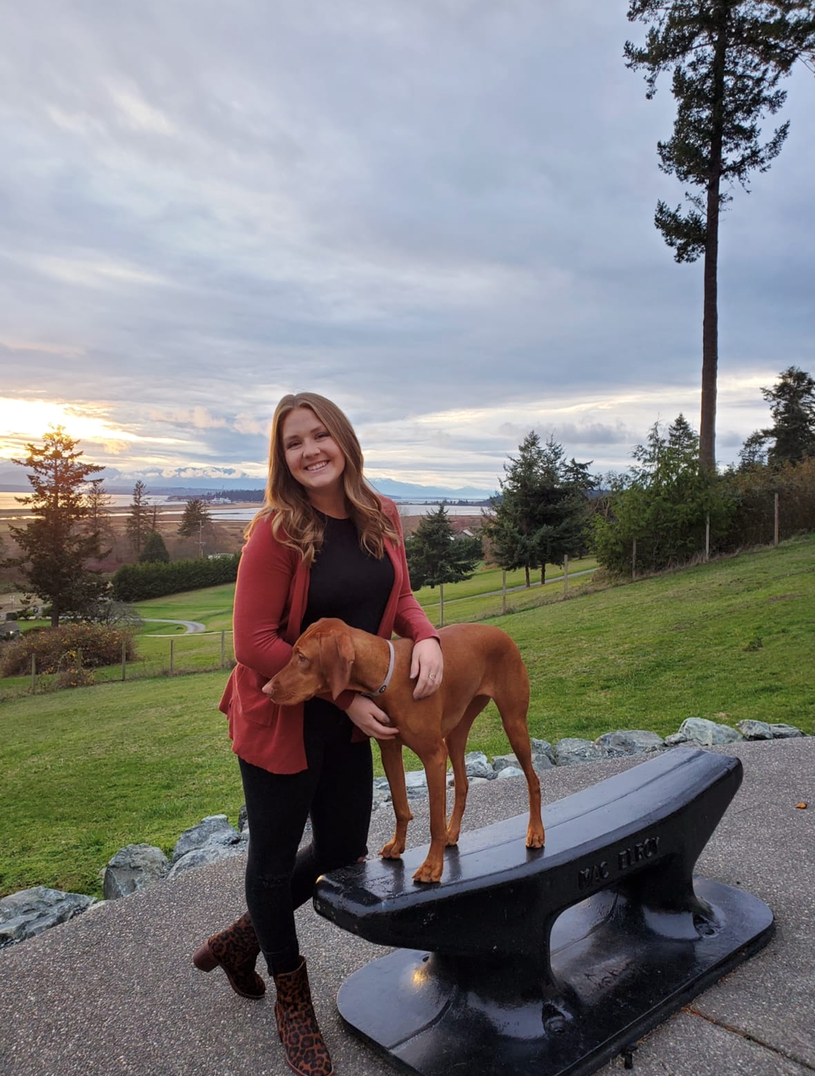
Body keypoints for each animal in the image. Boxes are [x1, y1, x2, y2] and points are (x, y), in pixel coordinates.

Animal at [269, 624, 546, 882]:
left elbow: (434, 821)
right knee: (462, 784)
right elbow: (400, 807)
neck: (385, 676)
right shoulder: (390, 751)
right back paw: (452, 832)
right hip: (455, 735)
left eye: (301, 657)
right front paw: (397, 846)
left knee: (533, 780)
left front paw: (432, 867)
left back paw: (535, 832)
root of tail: (499, 631)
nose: (266, 689)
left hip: (513, 723)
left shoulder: (433, 756)